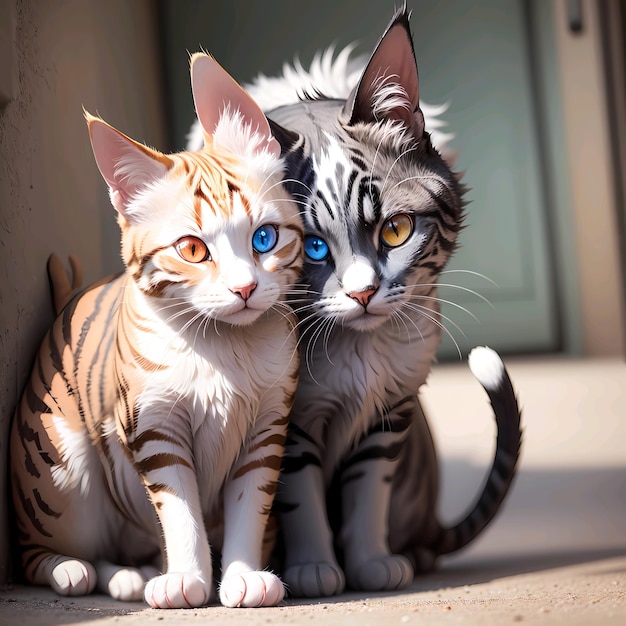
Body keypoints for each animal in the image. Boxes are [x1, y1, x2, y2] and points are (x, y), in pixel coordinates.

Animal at [190, 6, 520, 600]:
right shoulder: (289, 423)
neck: (359, 356)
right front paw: (314, 569)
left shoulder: (391, 413)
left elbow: (369, 493)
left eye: (395, 230)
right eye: (310, 246)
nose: (363, 292)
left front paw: (371, 562)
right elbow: (300, 500)